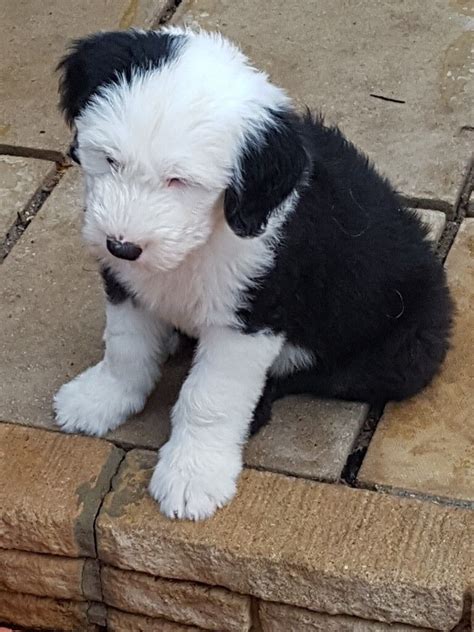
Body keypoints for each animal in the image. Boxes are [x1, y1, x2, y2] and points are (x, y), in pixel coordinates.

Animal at [52, 25, 452, 520]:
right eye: (109, 159)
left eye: (180, 180)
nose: (122, 245)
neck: (204, 238)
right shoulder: (126, 284)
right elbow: (126, 348)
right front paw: (102, 399)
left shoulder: (249, 318)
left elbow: (210, 397)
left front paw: (193, 475)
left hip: (406, 350)